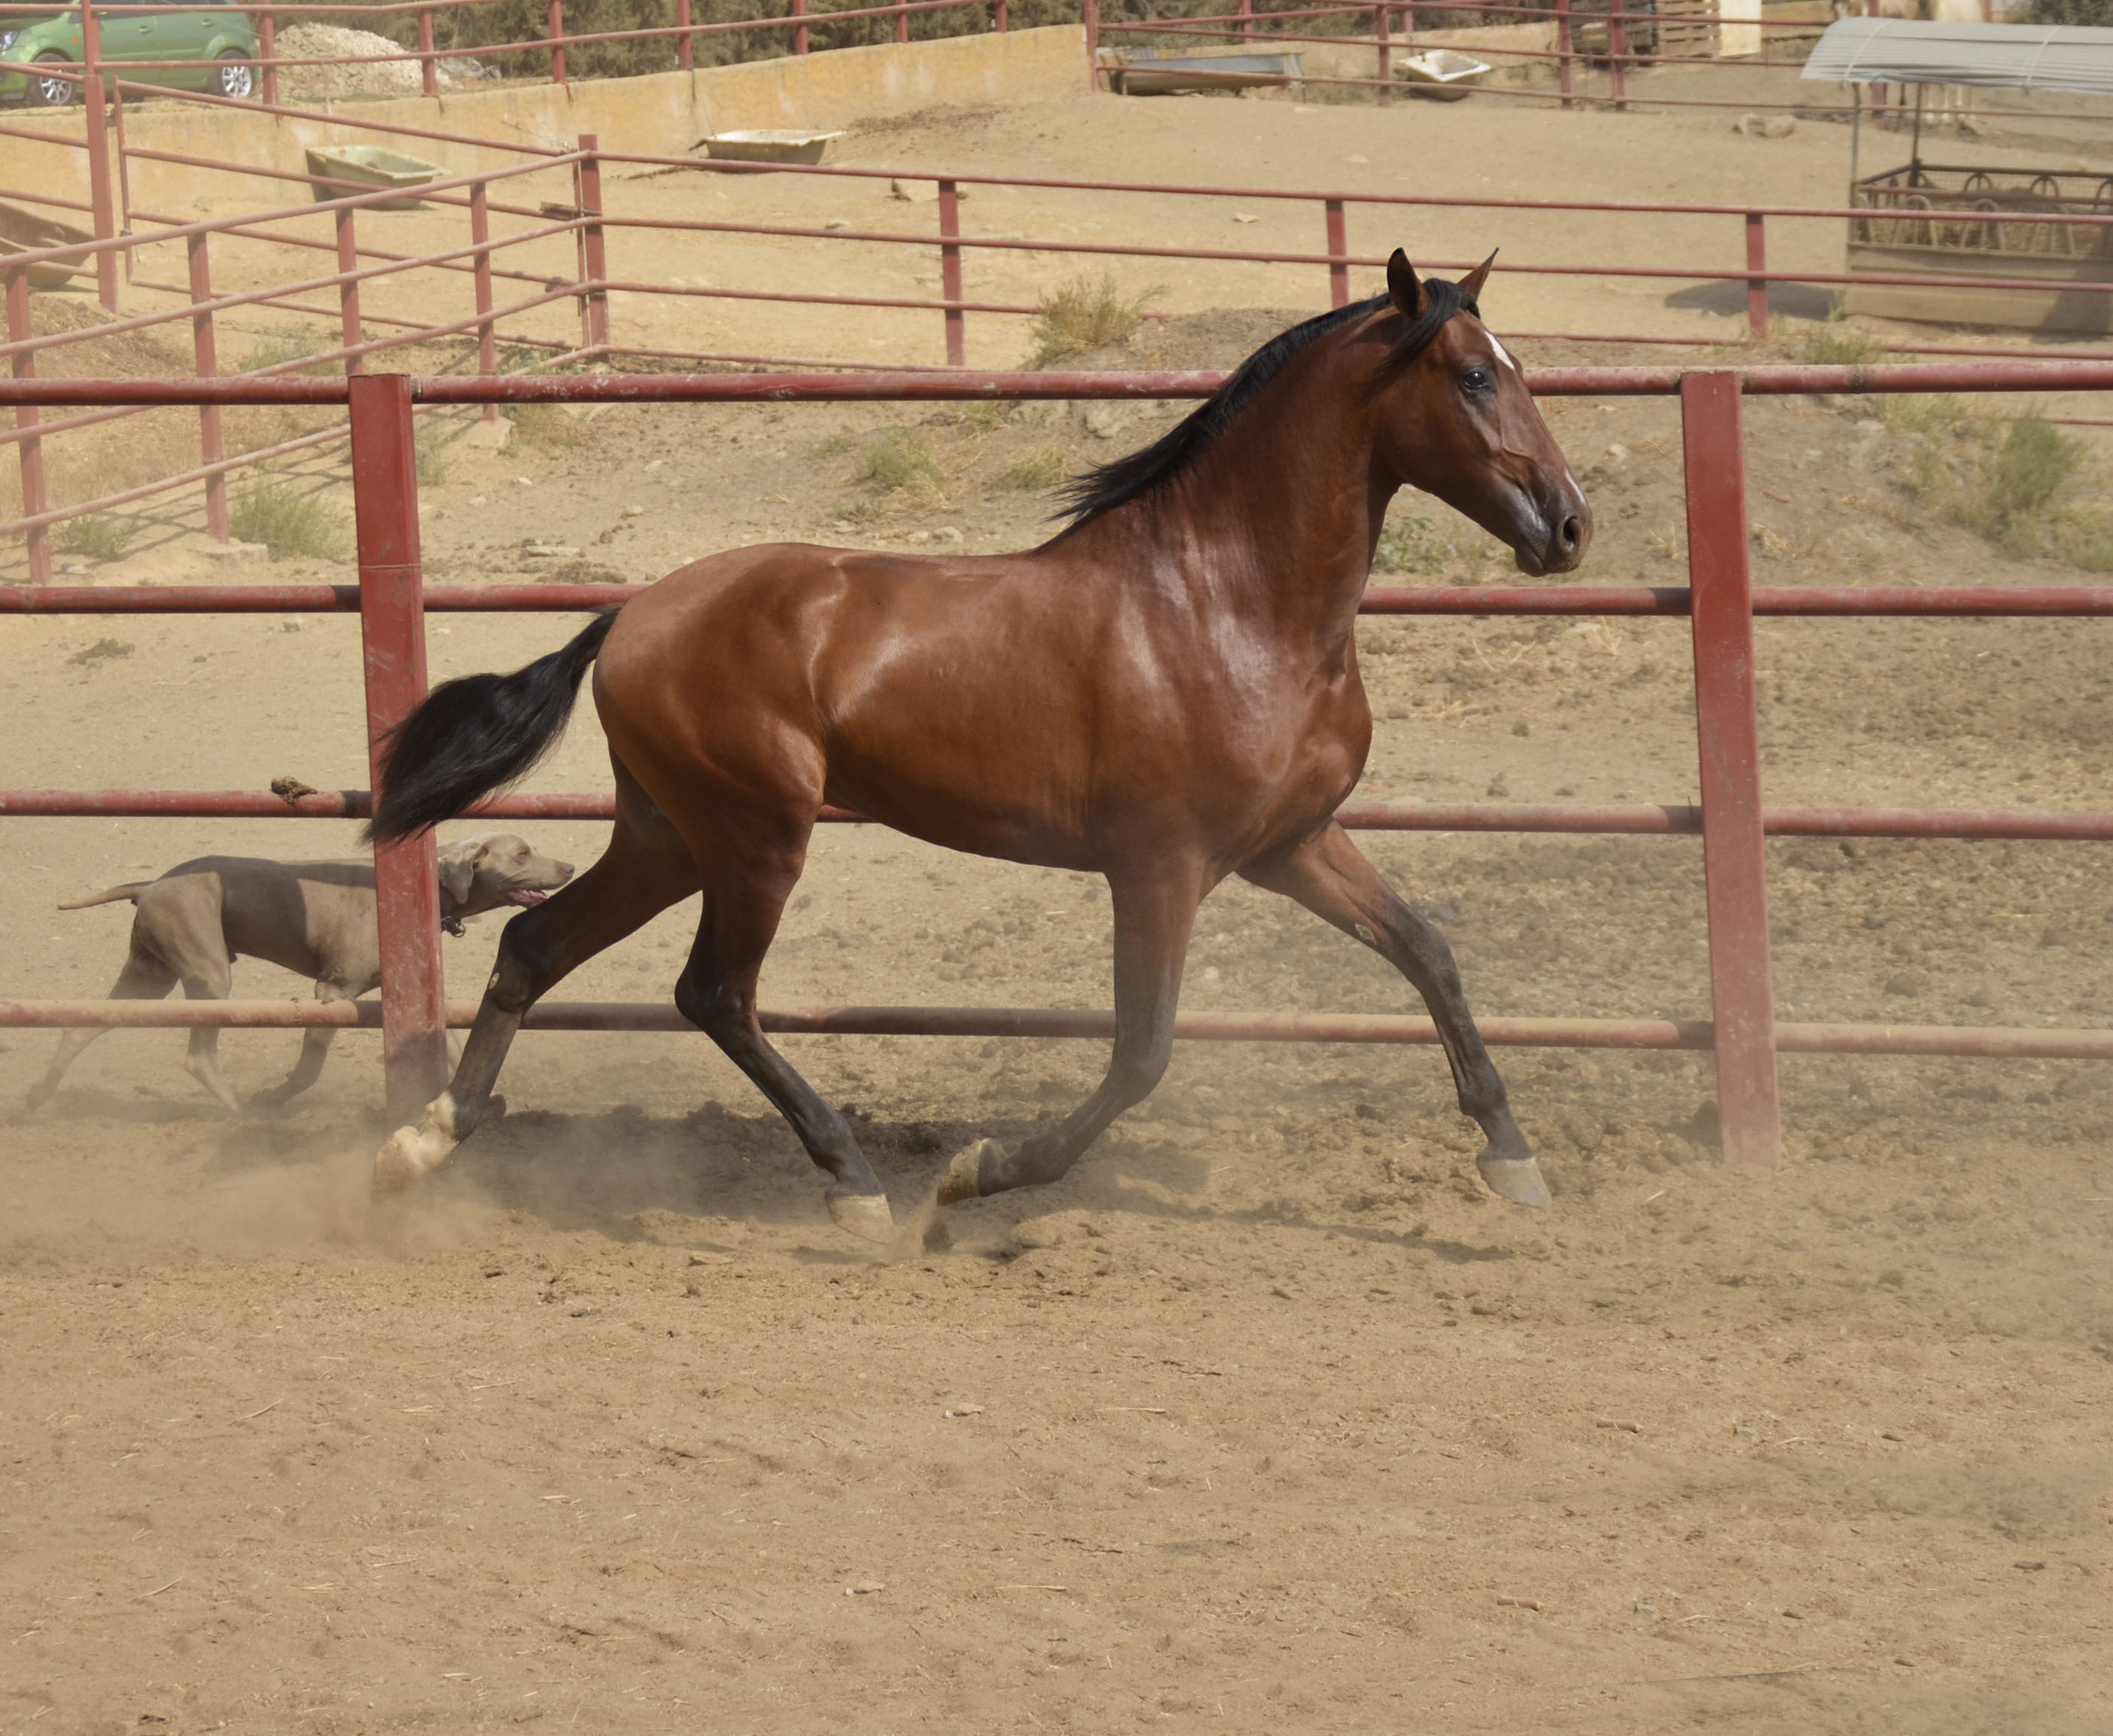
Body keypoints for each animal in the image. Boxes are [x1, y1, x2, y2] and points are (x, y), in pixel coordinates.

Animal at [26, 836, 570, 1123]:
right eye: (522, 853)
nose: (569, 865)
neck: (425, 888)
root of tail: (149, 885)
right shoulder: (331, 991)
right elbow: (309, 1069)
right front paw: (273, 1097)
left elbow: (455, 1047)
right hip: (208, 972)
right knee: (198, 1056)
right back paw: (242, 1112)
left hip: (149, 974)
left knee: (79, 1027)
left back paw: (36, 1099)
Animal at [367, 254, 1588, 1233]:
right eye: (1473, 376)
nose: (1569, 524)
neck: (1228, 605)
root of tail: (629, 615)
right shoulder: (1161, 864)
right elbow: (1141, 1051)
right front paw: (981, 1172)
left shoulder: (1291, 843)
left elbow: (1426, 951)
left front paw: (1511, 1158)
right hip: (756, 837)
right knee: (711, 992)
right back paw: (853, 1182)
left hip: (667, 834)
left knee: (535, 947)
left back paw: (426, 1138)